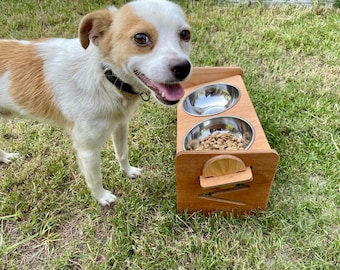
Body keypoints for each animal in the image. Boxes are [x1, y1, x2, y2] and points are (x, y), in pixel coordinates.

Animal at [0, 0, 191, 206]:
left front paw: (128, 172)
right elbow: (95, 178)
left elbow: (122, 153)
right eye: (140, 38)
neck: (105, 76)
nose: (183, 68)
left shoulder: (120, 125)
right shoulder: (87, 149)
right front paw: (102, 198)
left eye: (185, 34)